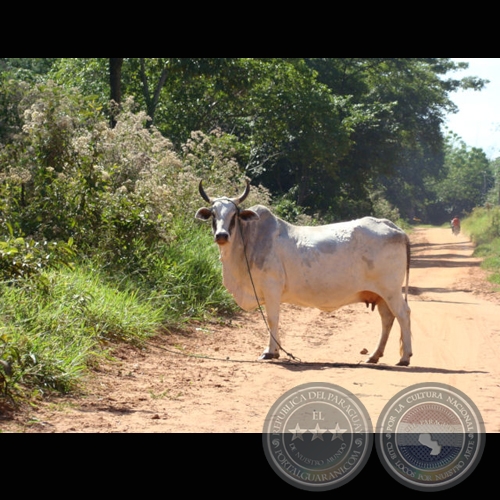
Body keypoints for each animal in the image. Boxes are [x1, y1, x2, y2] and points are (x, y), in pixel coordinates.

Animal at [196, 182, 414, 366]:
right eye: (213, 214)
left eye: (234, 214)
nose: (222, 235)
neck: (248, 241)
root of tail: (395, 228)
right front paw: (276, 351)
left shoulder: (271, 288)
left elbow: (272, 319)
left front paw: (270, 352)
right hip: (381, 295)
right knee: (387, 319)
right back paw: (374, 356)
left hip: (391, 291)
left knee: (403, 314)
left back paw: (404, 357)